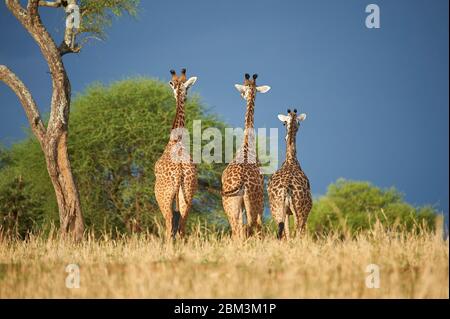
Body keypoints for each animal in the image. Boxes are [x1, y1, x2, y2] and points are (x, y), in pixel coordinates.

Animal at [221, 72, 270, 238]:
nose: (242, 95)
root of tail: (241, 182)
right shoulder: (261, 204)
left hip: (230, 206)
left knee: (238, 231)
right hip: (254, 205)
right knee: (251, 228)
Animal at [268, 109, 312, 239]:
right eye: (283, 123)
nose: (285, 137)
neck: (290, 160)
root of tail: (286, 189)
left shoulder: (286, 212)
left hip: (276, 210)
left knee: (283, 232)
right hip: (300, 211)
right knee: (297, 233)